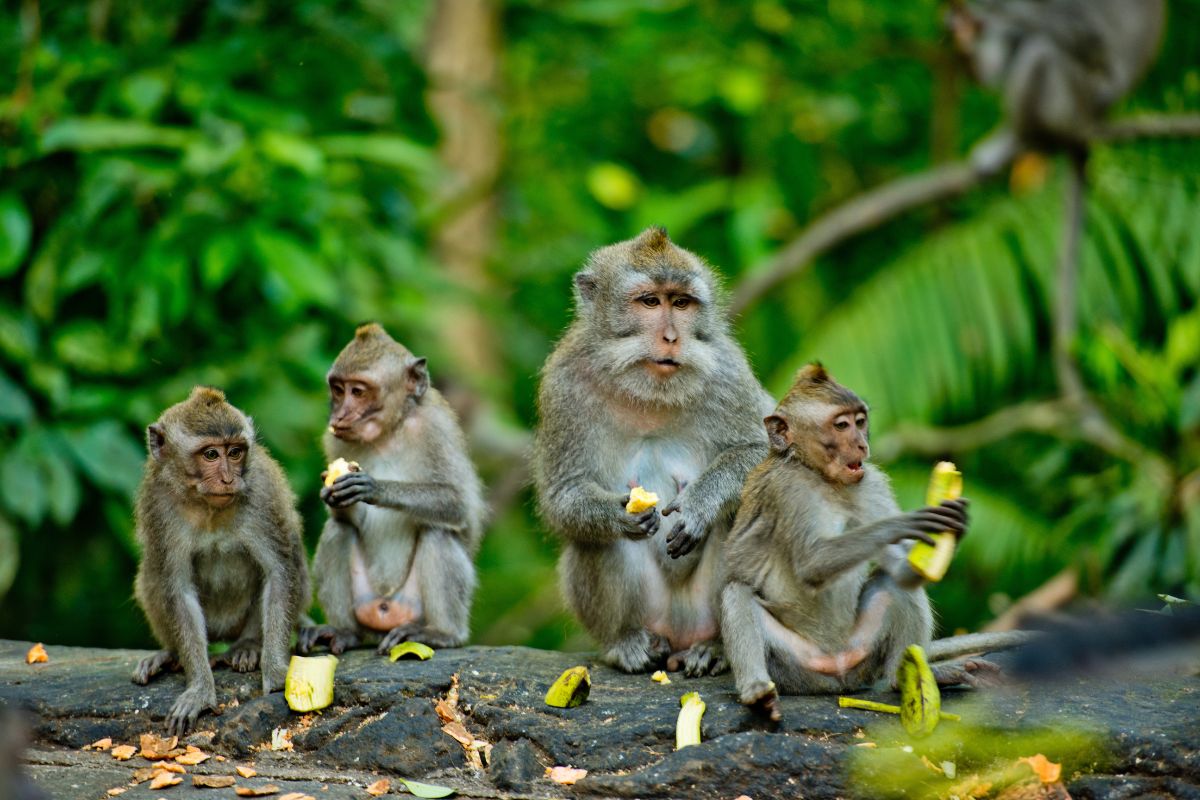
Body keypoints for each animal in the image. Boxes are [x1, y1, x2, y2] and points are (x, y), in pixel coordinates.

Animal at [131, 388, 309, 738]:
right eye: (211, 454)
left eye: (236, 452)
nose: (228, 478)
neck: (207, 505)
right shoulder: (158, 503)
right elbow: (178, 589)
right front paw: (200, 689)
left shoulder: (261, 493)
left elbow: (279, 573)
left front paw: (276, 672)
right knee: (151, 575)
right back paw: (169, 654)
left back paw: (248, 646)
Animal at [297, 323, 484, 657]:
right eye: (338, 389)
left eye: (358, 391)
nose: (339, 416)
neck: (388, 433)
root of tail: (385, 609)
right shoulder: (334, 441)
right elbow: (343, 519)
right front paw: (332, 495)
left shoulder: (435, 429)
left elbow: (458, 504)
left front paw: (374, 487)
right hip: (366, 603)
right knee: (338, 531)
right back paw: (344, 632)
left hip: (412, 606)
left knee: (438, 532)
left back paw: (442, 633)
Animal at [532, 225, 772, 676]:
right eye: (649, 301)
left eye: (681, 303)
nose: (672, 337)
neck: (649, 393)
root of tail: (678, 633)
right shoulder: (563, 383)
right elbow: (563, 495)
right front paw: (617, 514)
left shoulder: (729, 372)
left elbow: (765, 453)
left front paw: (699, 504)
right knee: (592, 540)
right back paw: (626, 643)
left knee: (742, 514)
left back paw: (715, 647)